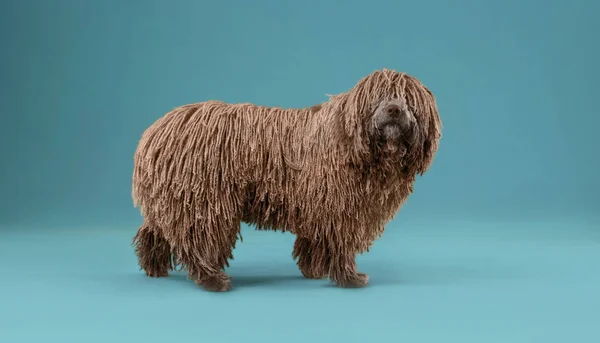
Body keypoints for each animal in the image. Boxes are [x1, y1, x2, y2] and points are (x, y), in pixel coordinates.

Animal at [132, 68, 440, 292]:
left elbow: (314, 242)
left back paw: (154, 267)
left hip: (173, 197)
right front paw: (349, 277)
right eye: (379, 96)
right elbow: (340, 245)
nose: (394, 109)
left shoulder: (319, 208)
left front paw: (314, 269)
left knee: (155, 231)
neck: (351, 142)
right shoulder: (340, 209)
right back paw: (212, 279)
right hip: (205, 199)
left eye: (409, 100)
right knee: (197, 239)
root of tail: (156, 130)